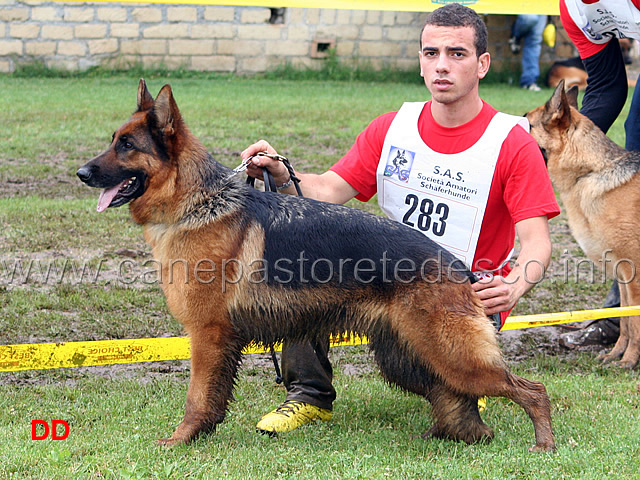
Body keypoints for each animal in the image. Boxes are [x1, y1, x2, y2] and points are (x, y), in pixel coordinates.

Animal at [76, 79, 556, 450]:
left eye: (127, 146)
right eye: (113, 140)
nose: (81, 173)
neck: (197, 202)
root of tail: (457, 267)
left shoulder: (208, 335)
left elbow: (197, 398)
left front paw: (182, 439)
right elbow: (213, 398)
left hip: (448, 355)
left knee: (532, 390)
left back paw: (543, 443)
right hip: (408, 357)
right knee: (456, 398)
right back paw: (455, 435)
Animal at [528, 80, 640, 370]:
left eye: (527, 124)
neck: (590, 172)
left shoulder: (634, 274)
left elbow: (635, 323)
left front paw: (629, 361)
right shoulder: (623, 275)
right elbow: (626, 321)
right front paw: (616, 354)